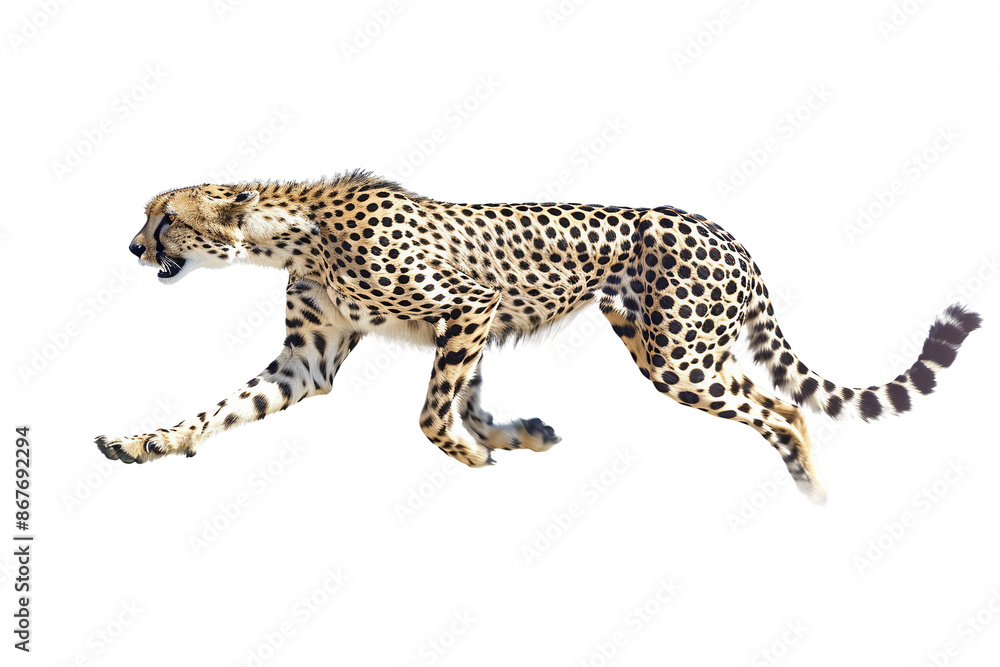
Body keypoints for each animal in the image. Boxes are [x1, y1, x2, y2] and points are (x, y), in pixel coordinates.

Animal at [95, 170, 982, 503]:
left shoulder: (471, 304)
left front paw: (476, 453)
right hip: (673, 347)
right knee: (778, 403)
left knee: (782, 410)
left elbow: (432, 413)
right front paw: (145, 443)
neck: (291, 230)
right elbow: (217, 411)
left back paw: (813, 498)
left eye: (164, 219)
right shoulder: (311, 361)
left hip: (680, 359)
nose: (132, 248)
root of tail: (723, 229)